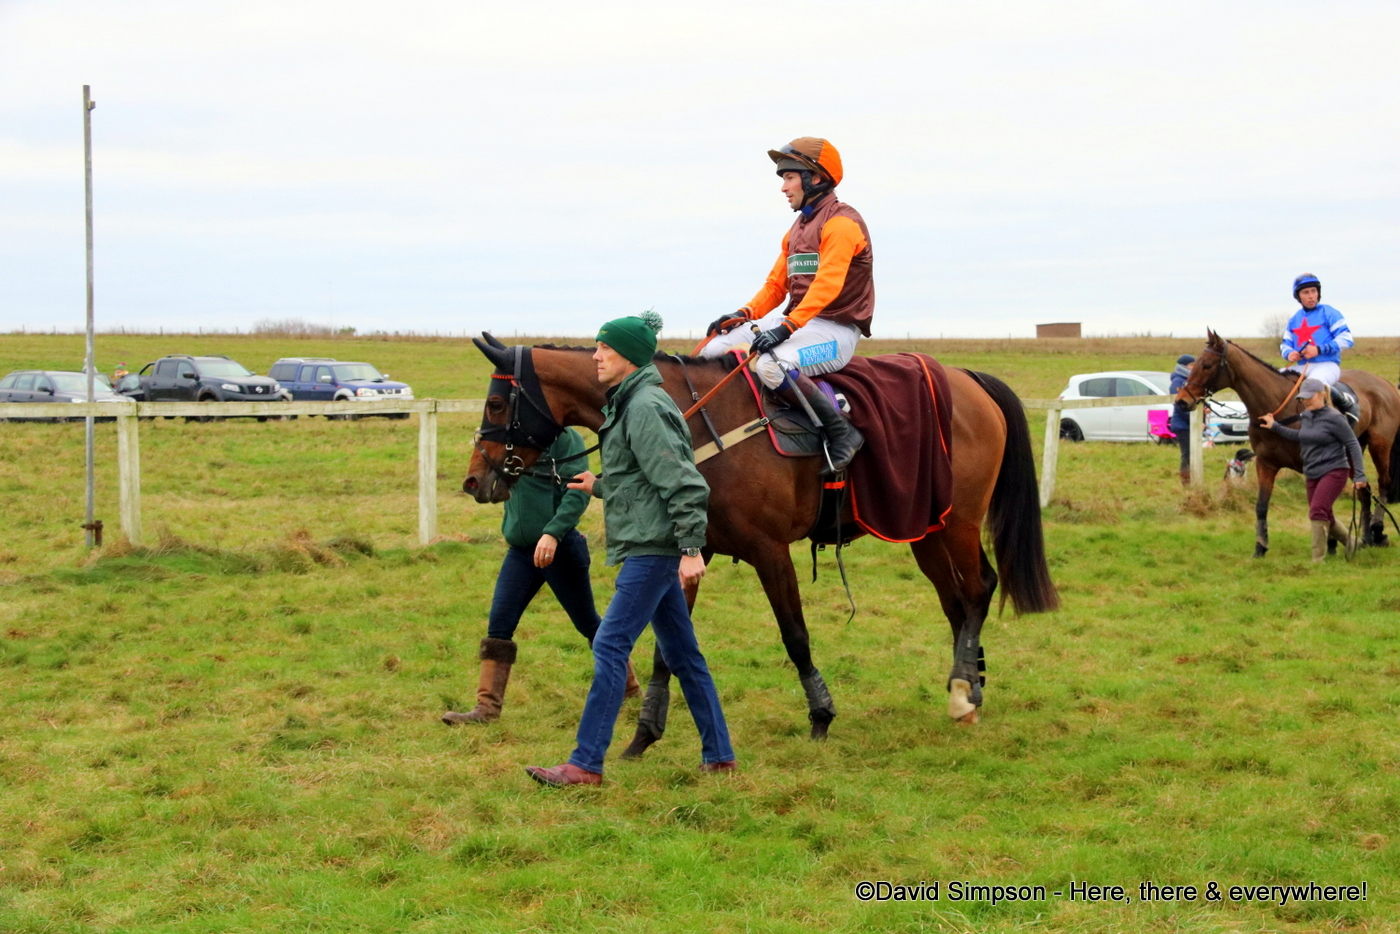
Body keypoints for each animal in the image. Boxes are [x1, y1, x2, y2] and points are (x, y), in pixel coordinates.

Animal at [463, 334, 1058, 755]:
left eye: (494, 404)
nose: (474, 481)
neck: (692, 419)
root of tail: (968, 379)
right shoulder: (692, 551)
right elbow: (666, 648)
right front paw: (645, 732)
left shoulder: (770, 551)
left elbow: (794, 634)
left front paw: (821, 715)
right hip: (924, 529)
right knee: (956, 603)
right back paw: (970, 684)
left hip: (957, 523)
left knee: (978, 590)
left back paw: (964, 692)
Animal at [1177, 330, 1400, 555]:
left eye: (1206, 365)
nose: (1181, 401)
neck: (1278, 407)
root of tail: (1386, 383)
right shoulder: (1265, 464)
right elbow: (1262, 505)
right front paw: (1261, 546)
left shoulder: (1313, 466)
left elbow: (1323, 505)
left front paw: (1331, 543)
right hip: (1352, 451)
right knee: (1364, 490)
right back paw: (1366, 537)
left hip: (1379, 445)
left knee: (1383, 483)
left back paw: (1377, 531)